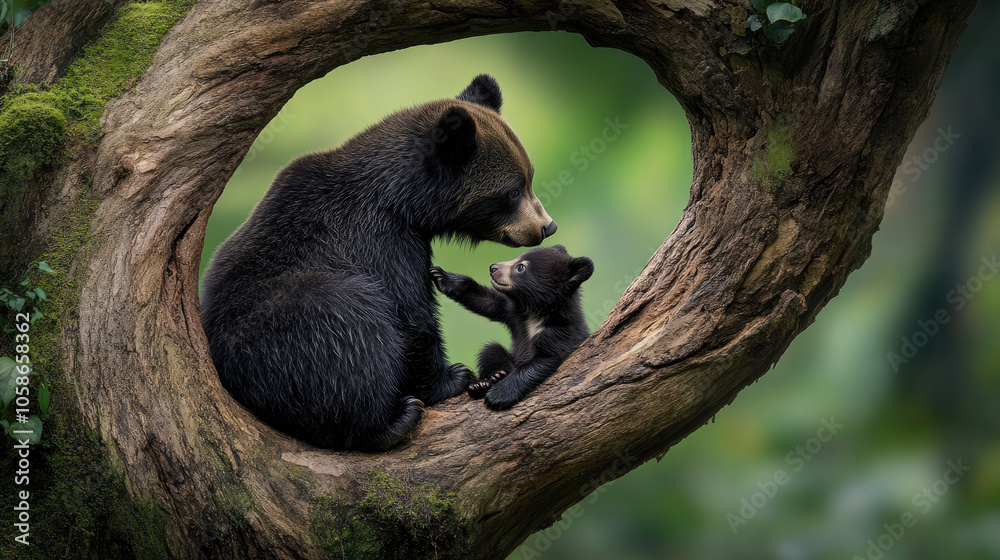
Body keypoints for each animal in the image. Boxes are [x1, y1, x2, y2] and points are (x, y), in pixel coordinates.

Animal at [200, 75, 557, 451]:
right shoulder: (380, 238)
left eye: (529, 178)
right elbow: (409, 314)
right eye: (513, 191)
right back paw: (392, 420)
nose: (546, 226)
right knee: (349, 326)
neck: (403, 203)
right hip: (286, 327)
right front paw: (452, 377)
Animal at [429, 244, 593, 410]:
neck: (534, 312)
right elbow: (489, 302)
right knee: (491, 350)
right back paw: (485, 381)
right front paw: (444, 278)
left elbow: (543, 360)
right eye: (517, 258)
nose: (493, 267)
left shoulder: (560, 332)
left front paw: (498, 396)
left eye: (520, 267)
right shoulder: (514, 314)